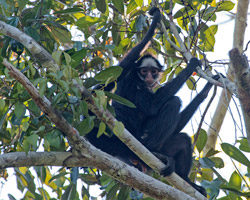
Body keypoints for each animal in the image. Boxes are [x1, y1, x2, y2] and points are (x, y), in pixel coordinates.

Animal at [84, 7, 217, 197]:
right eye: (144, 71)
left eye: (153, 72)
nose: (148, 78)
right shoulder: (133, 79)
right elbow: (153, 106)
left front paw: (206, 89)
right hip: (142, 138)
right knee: (173, 102)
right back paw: (153, 151)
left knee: (183, 139)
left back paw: (187, 181)